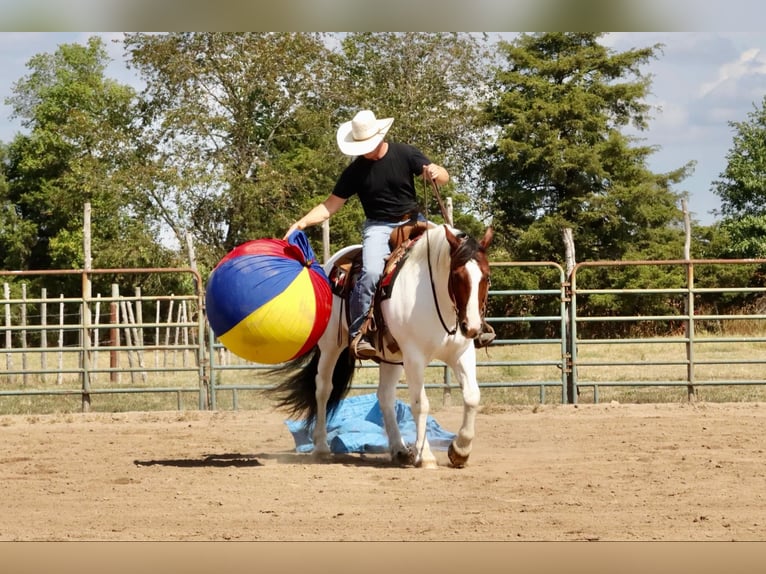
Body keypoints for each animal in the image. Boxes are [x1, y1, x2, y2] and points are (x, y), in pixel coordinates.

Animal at [270, 223, 496, 470]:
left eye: (486, 276)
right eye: (456, 275)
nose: (472, 327)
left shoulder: (461, 354)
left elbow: (472, 396)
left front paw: (460, 450)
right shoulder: (414, 358)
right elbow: (421, 404)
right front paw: (425, 455)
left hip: (392, 357)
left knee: (385, 396)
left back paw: (399, 449)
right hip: (331, 346)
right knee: (323, 389)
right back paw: (321, 447)